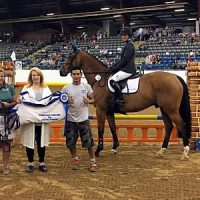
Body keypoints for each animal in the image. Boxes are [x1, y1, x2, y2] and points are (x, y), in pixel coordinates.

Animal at [60, 44, 191, 160]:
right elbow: (113, 127)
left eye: (70, 57)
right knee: (169, 126)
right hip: (164, 109)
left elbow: (101, 129)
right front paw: (114, 147)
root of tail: (175, 77)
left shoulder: (101, 109)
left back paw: (185, 153)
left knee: (182, 125)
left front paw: (98, 150)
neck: (100, 78)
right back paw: (161, 151)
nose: (61, 71)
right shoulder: (109, 111)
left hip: (171, 109)